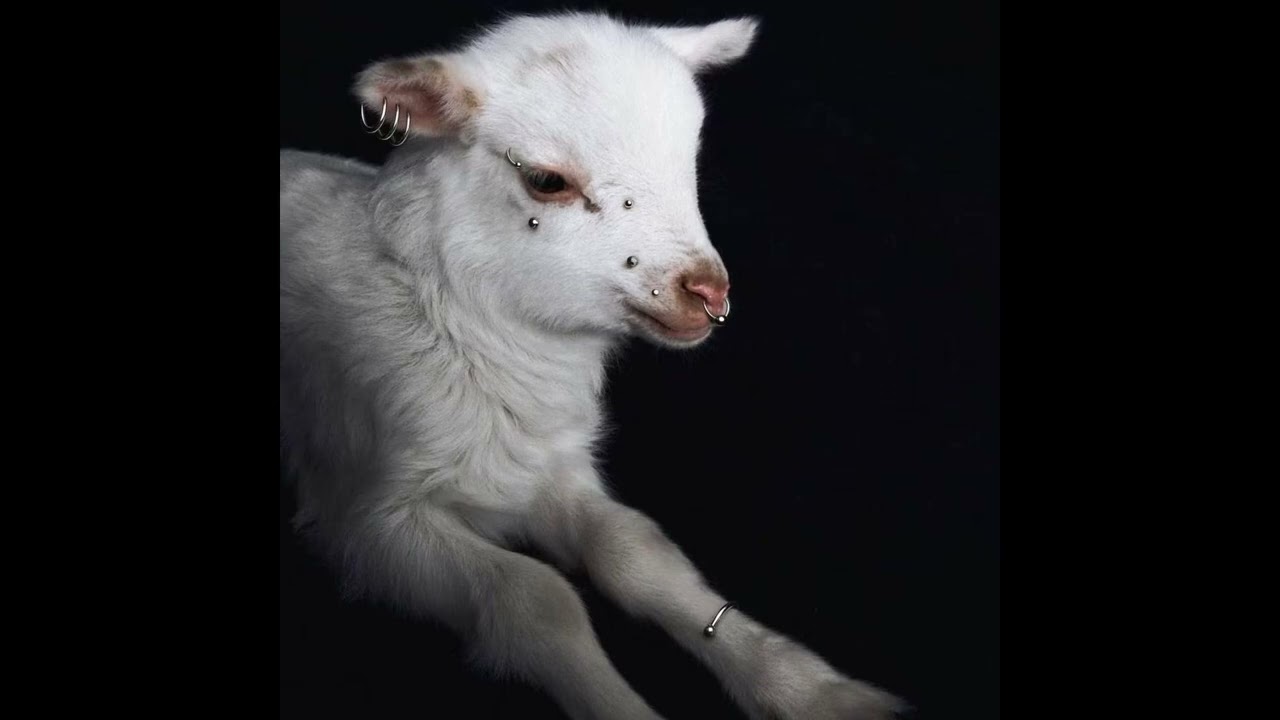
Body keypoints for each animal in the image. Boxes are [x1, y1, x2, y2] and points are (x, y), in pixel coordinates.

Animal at [280, 12, 904, 719]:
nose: (708, 292)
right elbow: (533, 597)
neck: (449, 319)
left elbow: (635, 549)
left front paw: (815, 690)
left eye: (688, 162)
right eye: (547, 181)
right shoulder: (367, 515)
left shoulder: (547, 464)